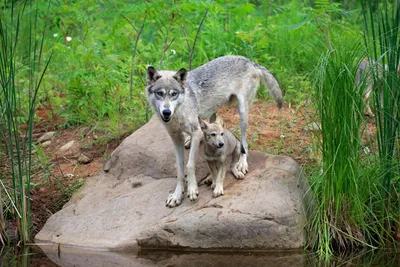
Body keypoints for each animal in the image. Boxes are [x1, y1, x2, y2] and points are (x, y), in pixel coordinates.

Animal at [146, 55, 282, 208]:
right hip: (213, 112)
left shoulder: (196, 132)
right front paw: (176, 195)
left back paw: (242, 164)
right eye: (160, 94)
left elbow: (190, 164)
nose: (166, 112)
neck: (178, 112)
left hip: (242, 113)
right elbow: (180, 170)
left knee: (244, 144)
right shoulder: (176, 139)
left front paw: (192, 189)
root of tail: (249, 60)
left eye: (174, 94)